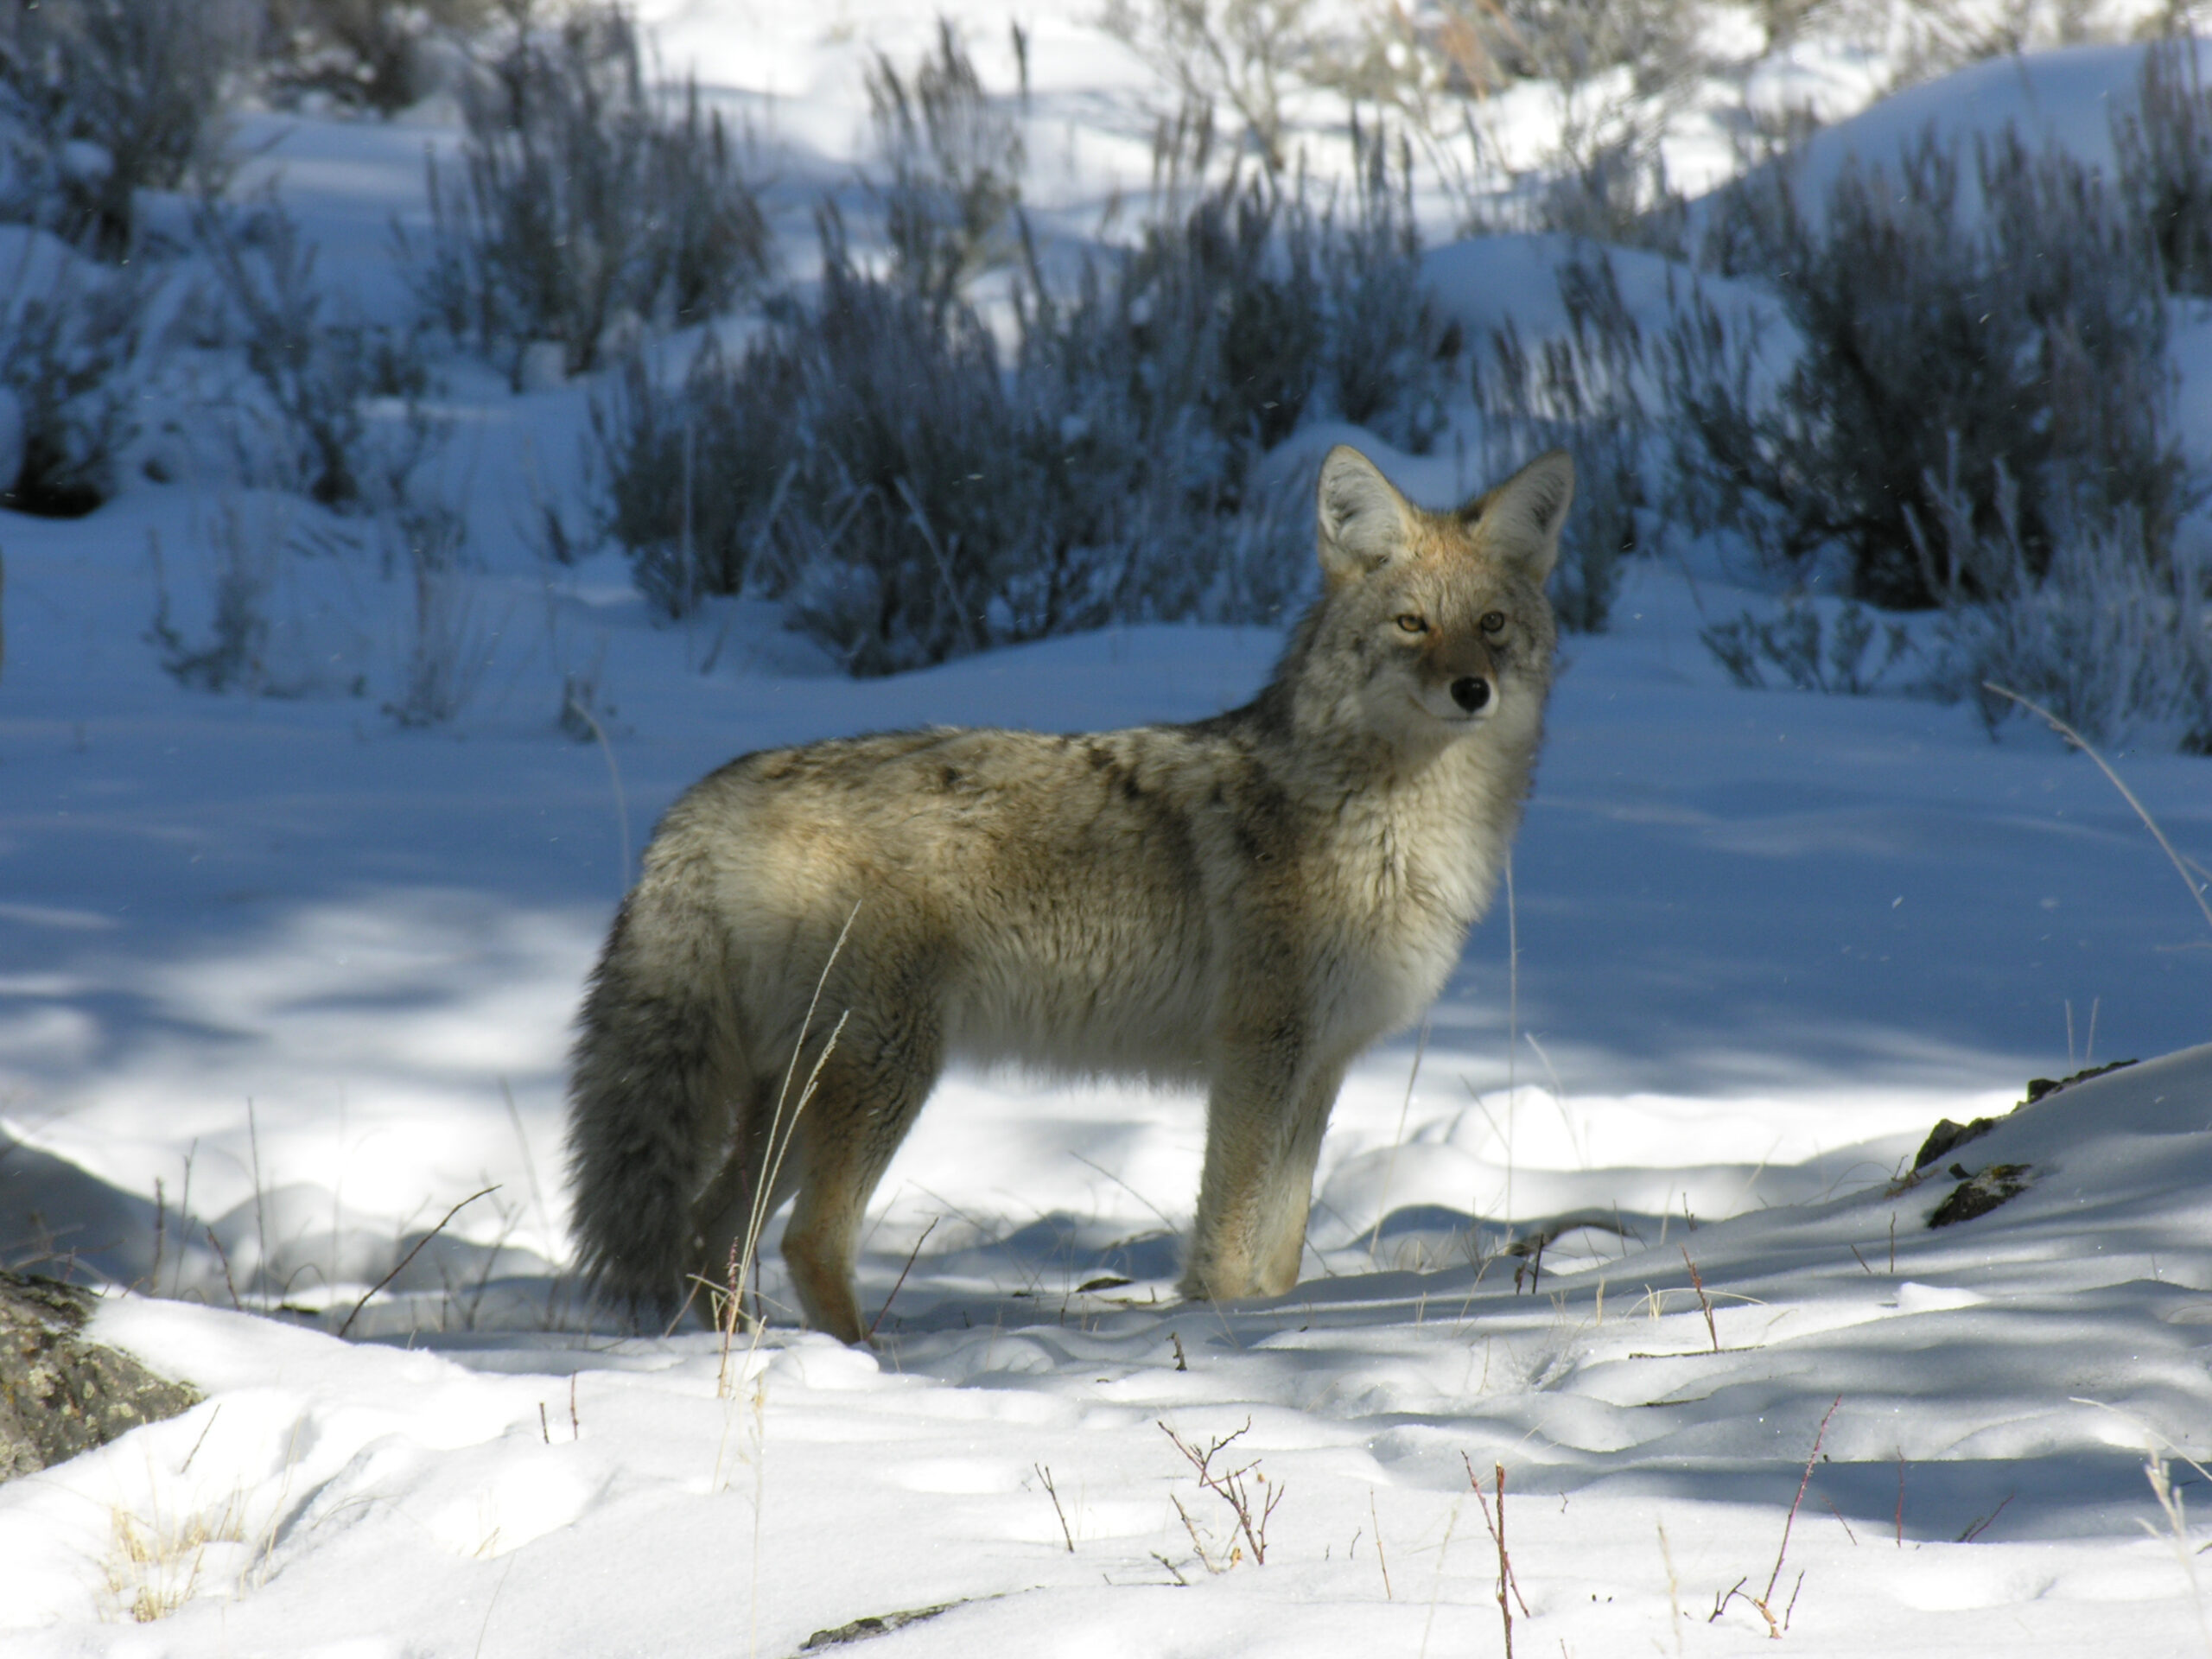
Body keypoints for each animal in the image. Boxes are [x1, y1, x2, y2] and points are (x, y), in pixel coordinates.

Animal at [566, 444, 1571, 1343]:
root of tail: (700, 805)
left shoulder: (1321, 1066)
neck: (1394, 822)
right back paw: (865, 1366)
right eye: (1411, 625)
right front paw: (1222, 1333)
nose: (1471, 691)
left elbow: (1280, 1253)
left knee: (710, 1228)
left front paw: (1263, 1325)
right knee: (807, 1240)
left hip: (798, 1090)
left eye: (1490, 624)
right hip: (886, 1069)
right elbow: (1228, 1240)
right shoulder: (1258, 1057)